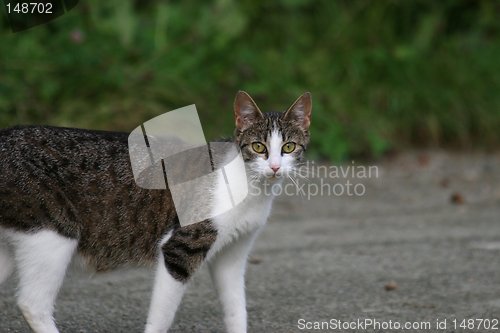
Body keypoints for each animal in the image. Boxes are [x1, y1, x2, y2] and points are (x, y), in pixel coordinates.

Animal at [0, 91, 312, 332]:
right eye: (259, 147)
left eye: (288, 147)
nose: (275, 167)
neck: (251, 187)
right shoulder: (179, 249)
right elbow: (162, 315)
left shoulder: (233, 255)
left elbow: (236, 310)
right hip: (53, 234)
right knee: (32, 304)